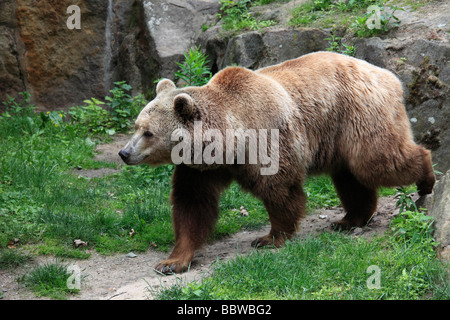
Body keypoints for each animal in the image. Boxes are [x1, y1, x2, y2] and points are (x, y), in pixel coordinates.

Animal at [118, 51, 434, 274]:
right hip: (340, 136)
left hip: (358, 114)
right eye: (136, 126)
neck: (225, 144)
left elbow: (280, 189)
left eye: (148, 132)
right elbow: (191, 206)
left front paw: (270, 238)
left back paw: (426, 180)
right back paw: (350, 219)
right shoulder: (200, 168)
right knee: (351, 177)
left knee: (377, 161)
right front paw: (172, 261)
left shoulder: (266, 138)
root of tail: (388, 75)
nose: (124, 153)